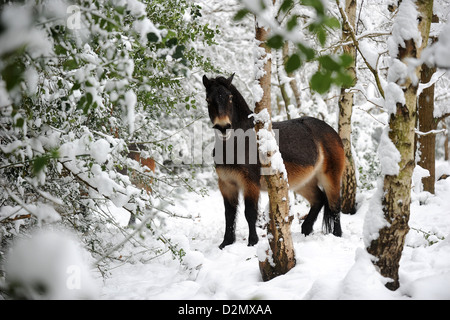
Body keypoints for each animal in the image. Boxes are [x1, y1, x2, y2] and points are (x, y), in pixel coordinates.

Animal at [203, 74, 344, 249]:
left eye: (229, 97)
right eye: (208, 99)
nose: (223, 127)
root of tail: (331, 131)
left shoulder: (250, 184)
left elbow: (250, 213)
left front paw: (252, 242)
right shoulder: (226, 184)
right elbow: (229, 214)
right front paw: (226, 243)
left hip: (330, 177)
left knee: (334, 205)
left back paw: (337, 235)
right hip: (304, 182)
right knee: (319, 200)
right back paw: (306, 230)